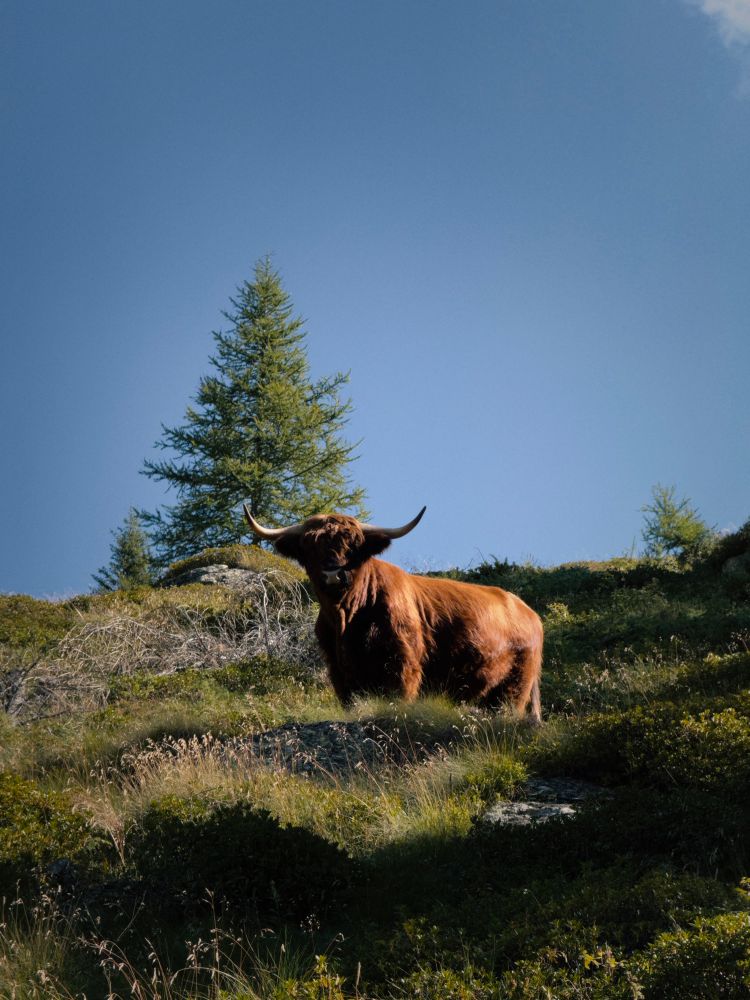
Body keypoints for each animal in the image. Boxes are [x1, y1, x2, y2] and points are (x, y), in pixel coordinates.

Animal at [243, 505, 542, 722]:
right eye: (309, 546)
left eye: (353, 545)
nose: (332, 573)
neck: (345, 619)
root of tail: (528, 611)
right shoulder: (339, 671)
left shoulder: (403, 663)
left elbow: (400, 696)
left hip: (516, 684)